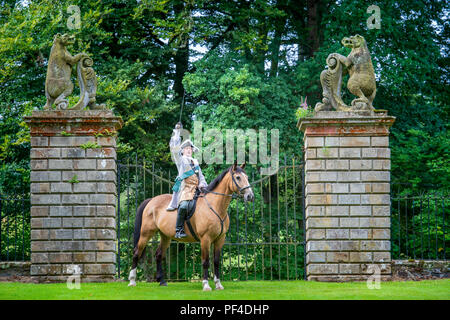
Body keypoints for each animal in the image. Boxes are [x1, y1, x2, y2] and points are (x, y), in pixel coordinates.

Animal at [127, 162, 253, 290]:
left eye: (247, 177)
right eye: (238, 177)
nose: (250, 196)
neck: (215, 206)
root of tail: (151, 200)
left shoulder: (220, 239)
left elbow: (216, 261)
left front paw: (218, 284)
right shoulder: (205, 239)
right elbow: (205, 261)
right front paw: (206, 285)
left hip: (165, 236)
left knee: (158, 255)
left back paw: (162, 281)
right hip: (145, 234)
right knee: (136, 253)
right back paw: (132, 281)